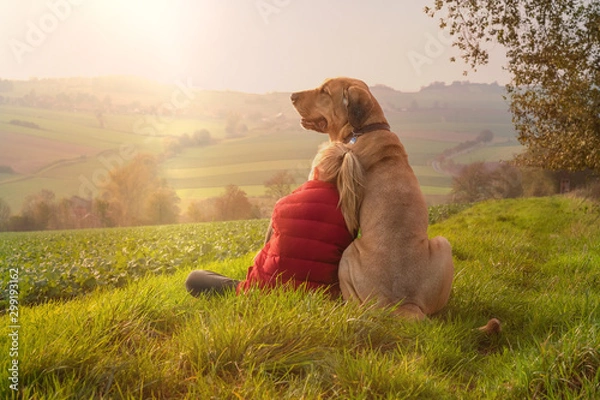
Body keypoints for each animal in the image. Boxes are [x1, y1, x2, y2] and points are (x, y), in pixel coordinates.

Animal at [290, 76, 454, 318]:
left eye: (325, 92)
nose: (292, 96)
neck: (364, 129)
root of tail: (404, 303)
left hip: (349, 255)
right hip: (444, 244)